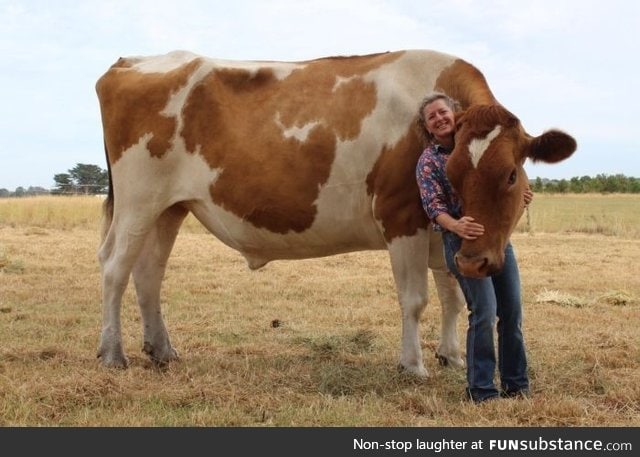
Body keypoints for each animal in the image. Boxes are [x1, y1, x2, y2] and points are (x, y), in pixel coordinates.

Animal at [94, 49, 576, 378]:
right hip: (138, 201)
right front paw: (413, 365)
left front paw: (452, 356)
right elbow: (415, 299)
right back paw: (113, 353)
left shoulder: (440, 233)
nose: (478, 261)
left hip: (168, 208)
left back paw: (161, 350)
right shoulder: (402, 219)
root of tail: (132, 61)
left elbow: (452, 297)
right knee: (115, 268)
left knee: (149, 273)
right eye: (453, 173)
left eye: (510, 174)